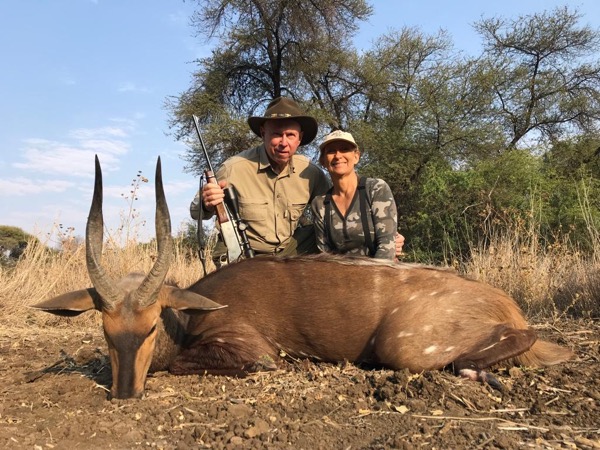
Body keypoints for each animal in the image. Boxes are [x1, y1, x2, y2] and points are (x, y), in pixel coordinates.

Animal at [33, 156, 573, 399]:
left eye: (148, 329)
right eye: (106, 332)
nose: (125, 393)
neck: (186, 317)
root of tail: (505, 303)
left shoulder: (253, 350)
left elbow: (195, 364)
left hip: (403, 345)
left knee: (524, 340)